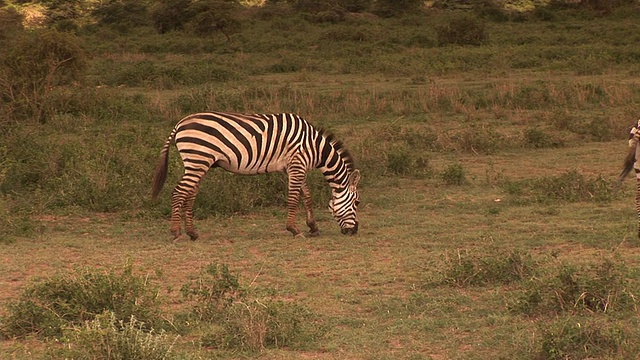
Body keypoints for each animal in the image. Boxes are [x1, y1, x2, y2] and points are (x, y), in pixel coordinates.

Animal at [150, 111, 360, 240]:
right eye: (357, 202)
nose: (355, 231)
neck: (314, 147)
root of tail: (180, 123)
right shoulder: (297, 164)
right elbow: (294, 198)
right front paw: (294, 229)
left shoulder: (293, 167)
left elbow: (306, 196)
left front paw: (313, 227)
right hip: (197, 159)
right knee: (178, 192)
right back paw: (177, 233)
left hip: (199, 163)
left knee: (190, 194)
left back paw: (192, 233)